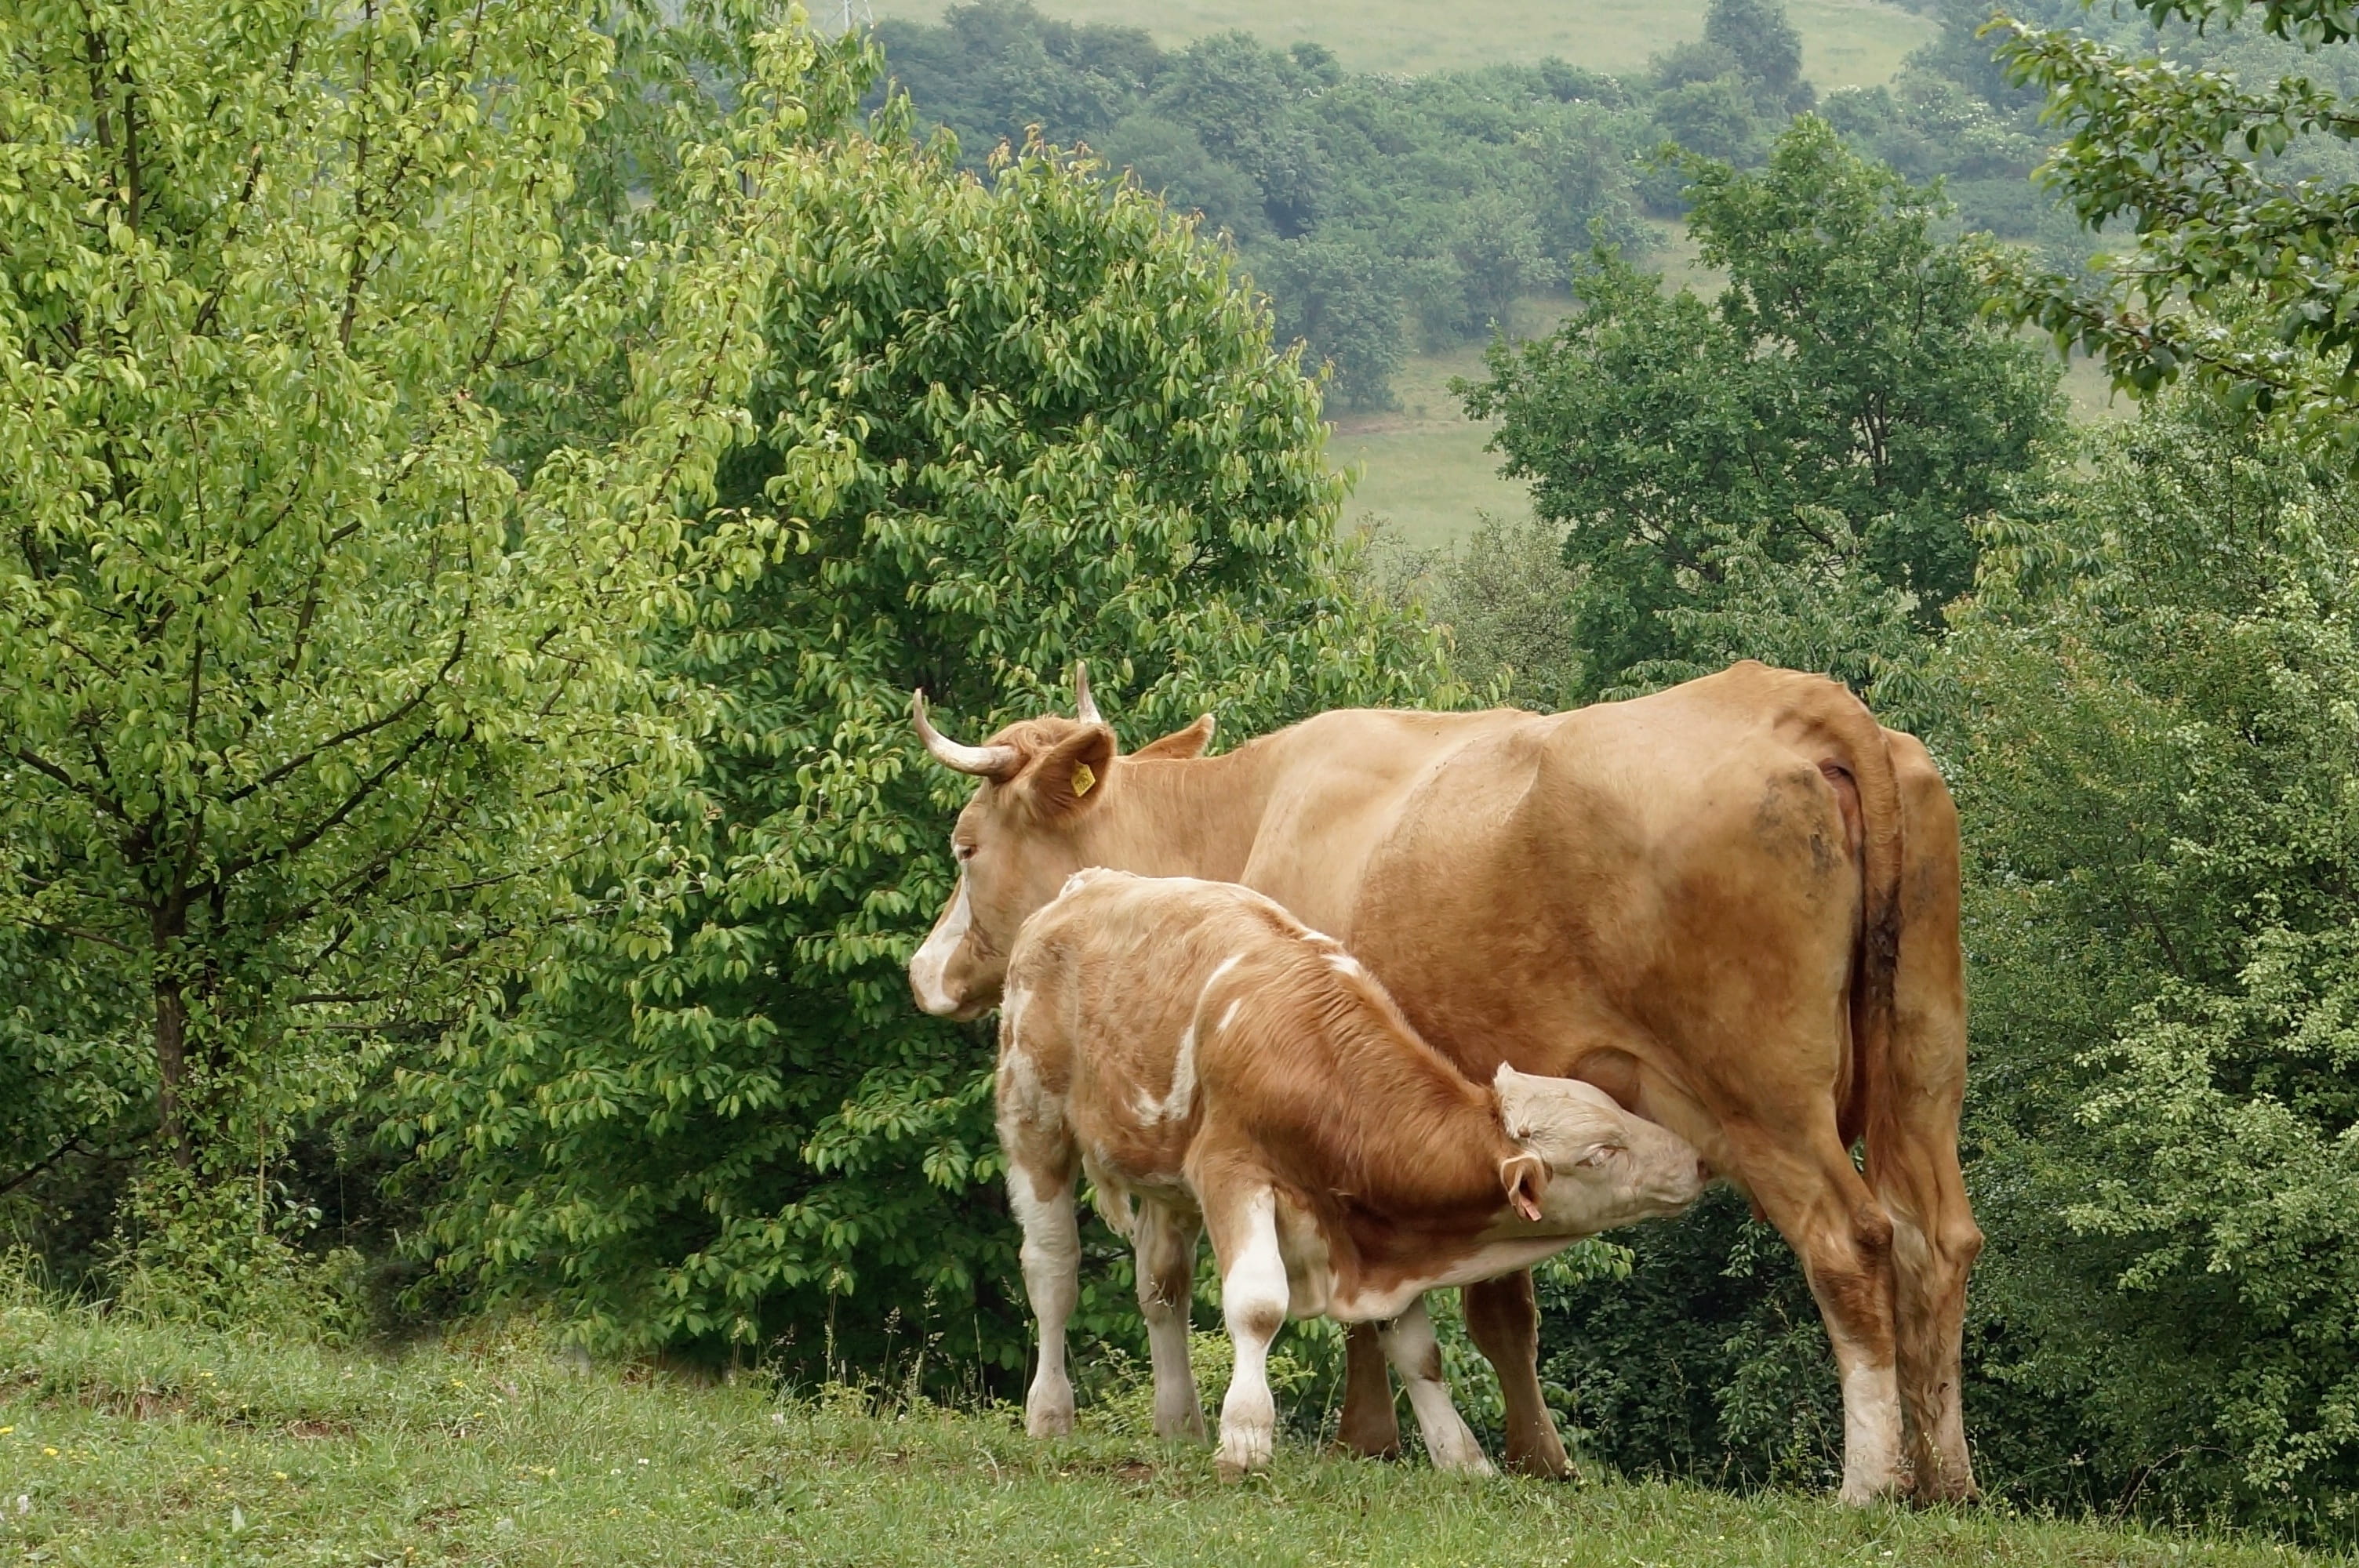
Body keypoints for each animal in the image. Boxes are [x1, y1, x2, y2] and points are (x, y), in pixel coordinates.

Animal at [994, 867, 1705, 1479]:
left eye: (1618, 1111)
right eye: (1600, 1153)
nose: (1694, 1160)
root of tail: (1088, 884)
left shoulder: (1384, 1229)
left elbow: (1418, 1350)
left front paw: (1461, 1458)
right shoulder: (1230, 1171)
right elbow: (1258, 1305)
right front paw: (1245, 1439)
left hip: (1165, 1179)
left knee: (1162, 1287)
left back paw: (1179, 1424)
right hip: (1034, 1119)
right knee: (1053, 1271)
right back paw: (1050, 1413)